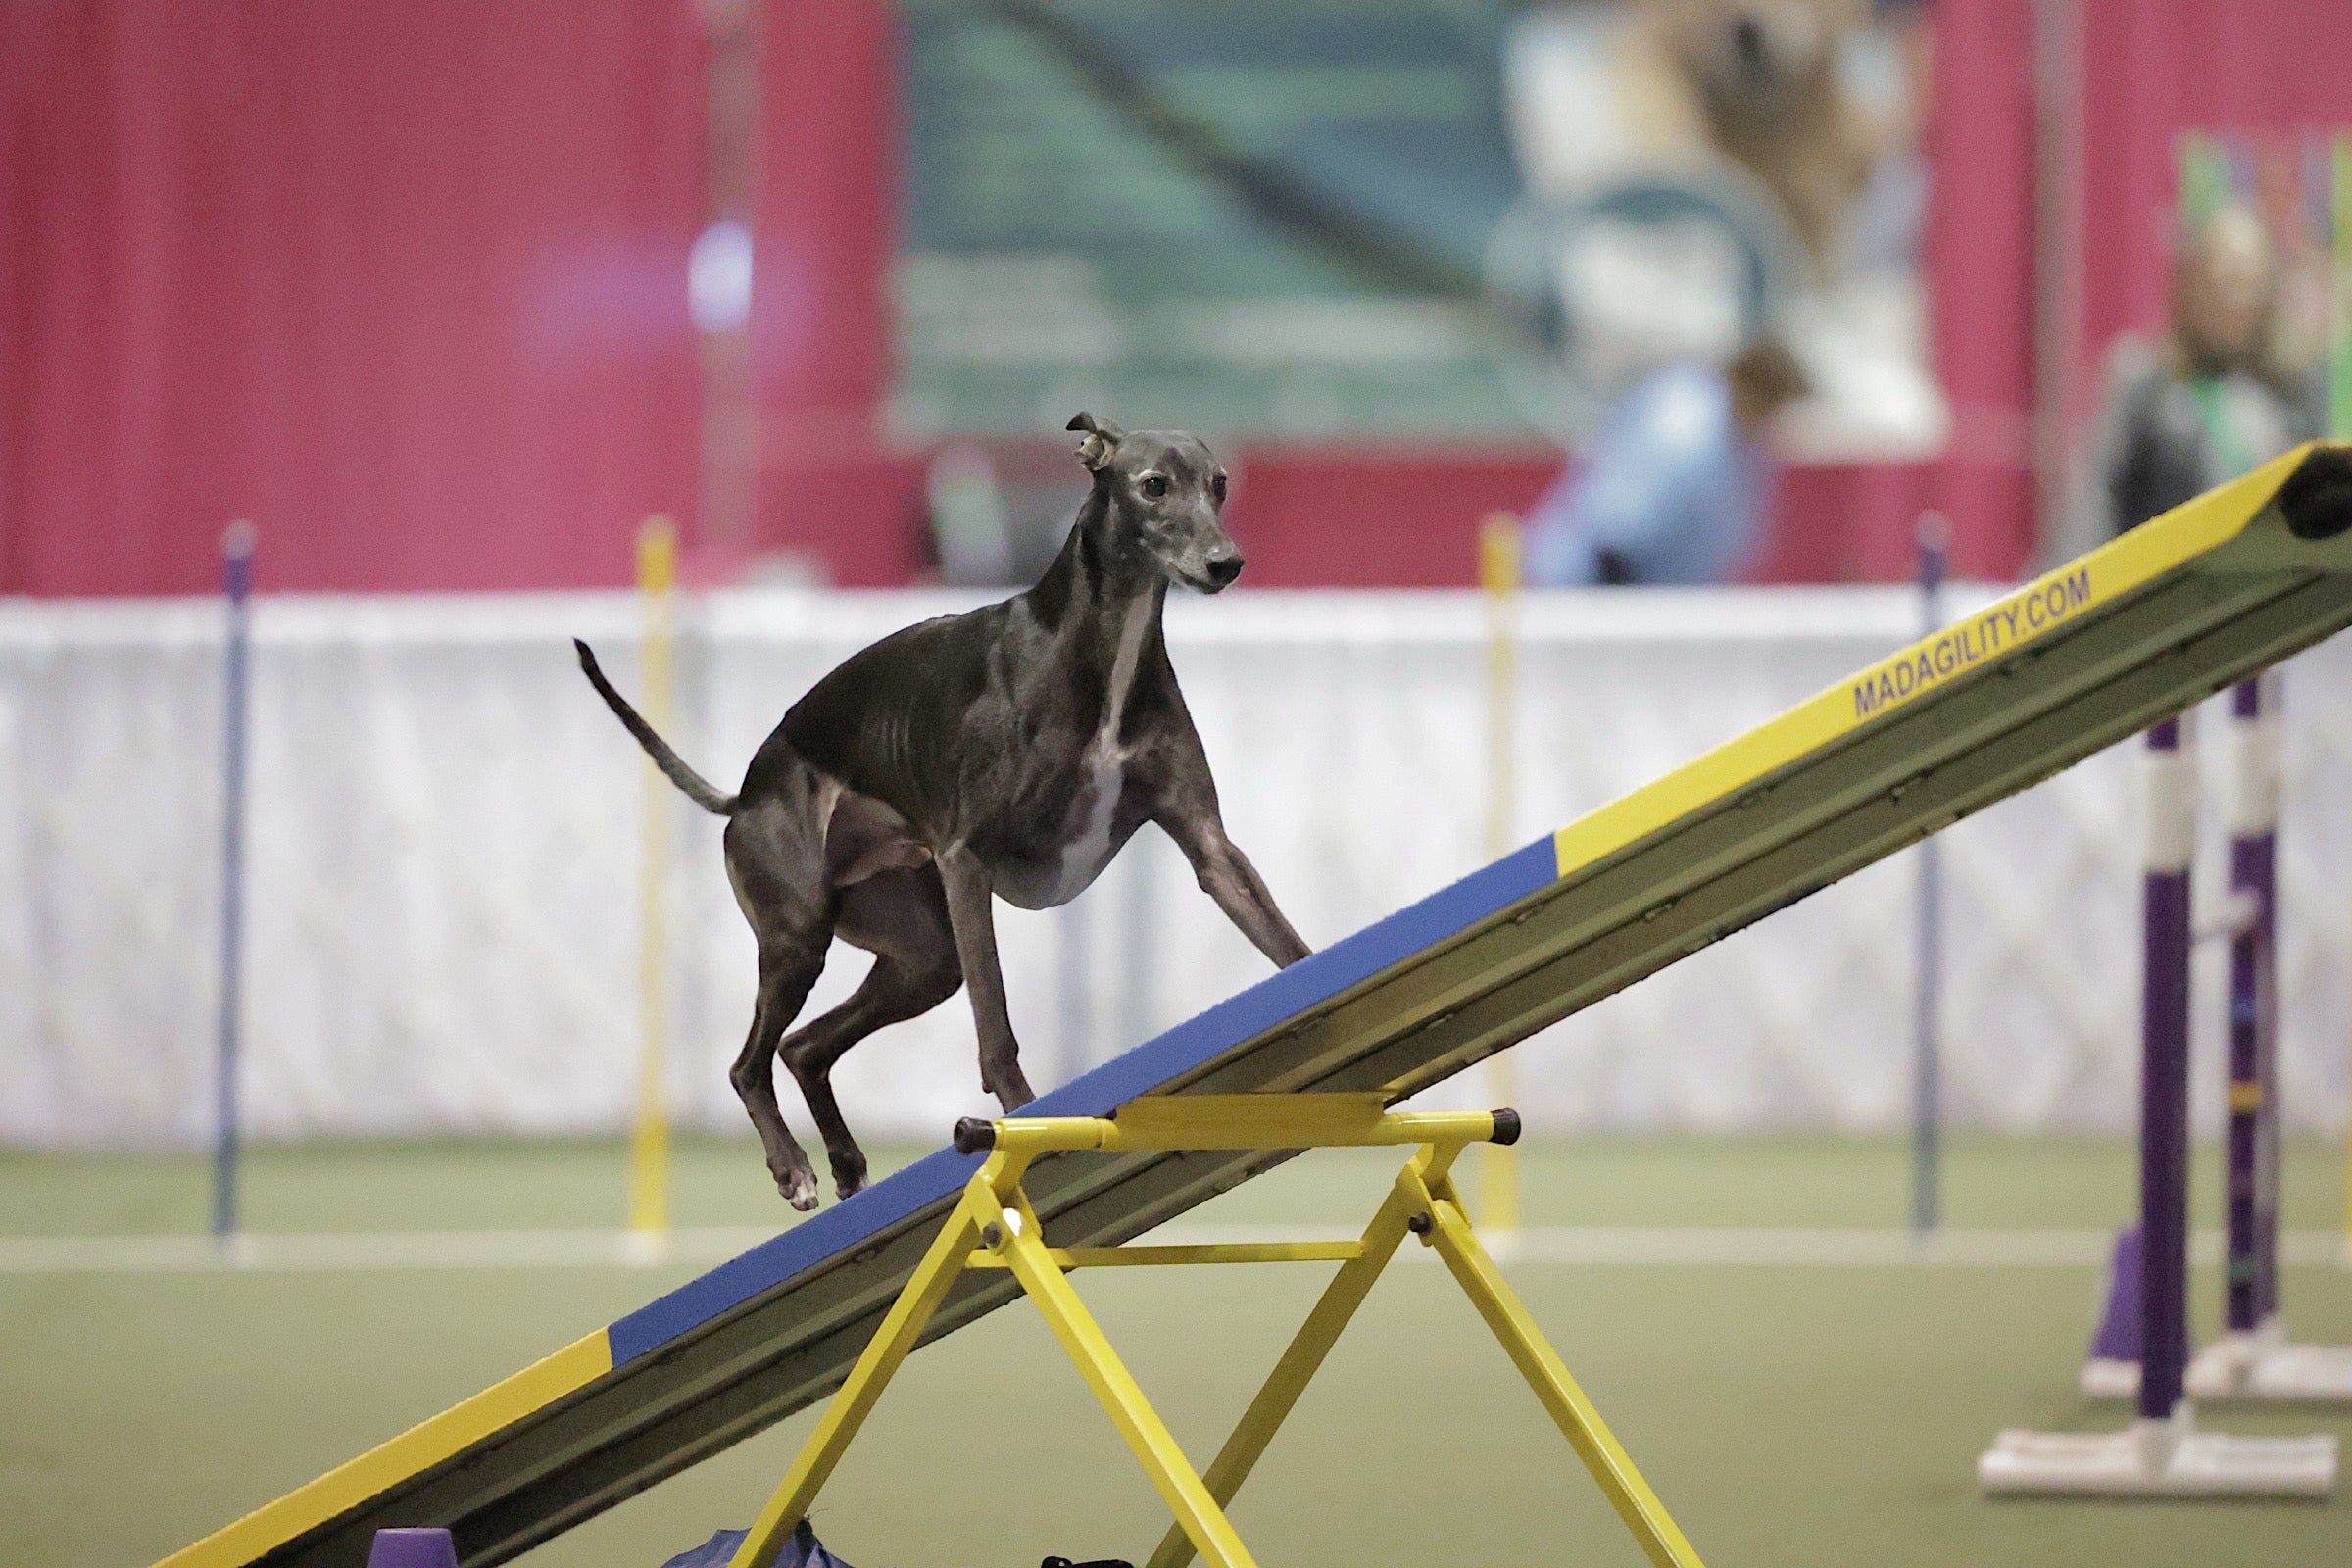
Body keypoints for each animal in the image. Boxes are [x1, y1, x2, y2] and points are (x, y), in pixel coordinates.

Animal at [568, 411, 1307, 1212]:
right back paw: (794, 1168)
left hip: (920, 955)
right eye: (1153, 485)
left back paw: (847, 1161)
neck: (1093, 653)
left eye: (1219, 484)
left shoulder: (1207, 842)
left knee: (804, 1046)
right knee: (749, 1063)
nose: (1226, 563)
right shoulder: (964, 861)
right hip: (799, 936)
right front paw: (1024, 1114)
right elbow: (997, 1022)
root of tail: (747, 789)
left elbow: (1286, 943)